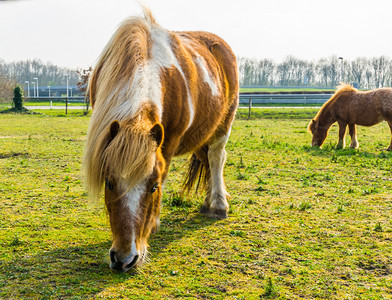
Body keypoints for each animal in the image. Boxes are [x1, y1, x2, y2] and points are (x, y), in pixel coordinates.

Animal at [83, 8, 239, 272]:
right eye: (109, 183)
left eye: (153, 187)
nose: (124, 259)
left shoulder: (168, 141)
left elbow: (164, 172)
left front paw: (153, 223)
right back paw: (209, 200)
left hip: (224, 123)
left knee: (217, 157)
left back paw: (218, 205)